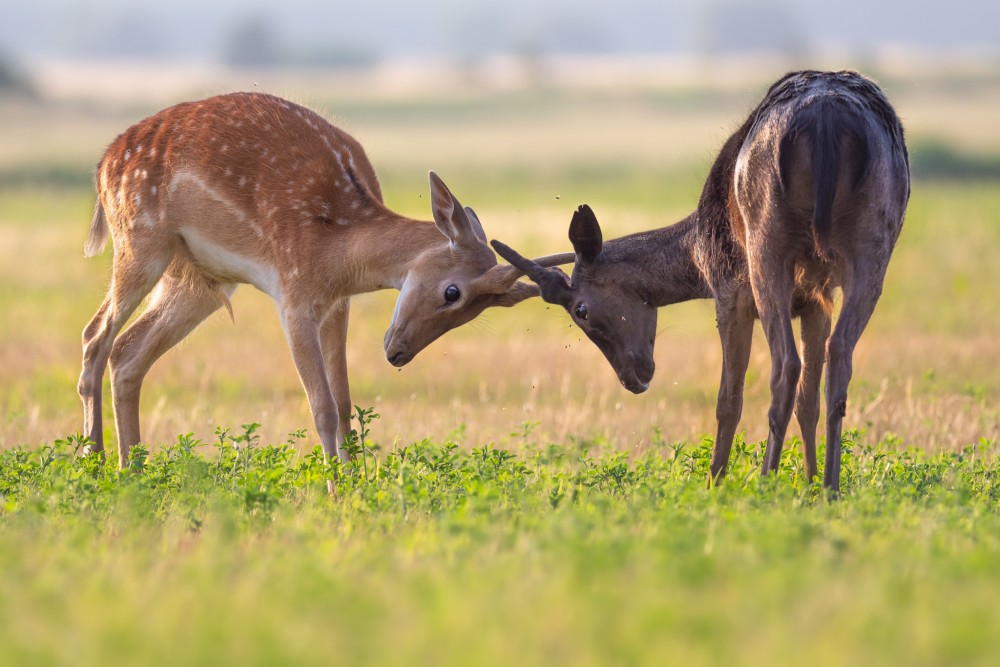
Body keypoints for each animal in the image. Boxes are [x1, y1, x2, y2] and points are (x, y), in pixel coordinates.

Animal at [78, 91, 572, 470]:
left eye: (477, 312)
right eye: (453, 291)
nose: (397, 353)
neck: (339, 245)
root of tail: (101, 166)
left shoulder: (336, 304)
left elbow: (346, 404)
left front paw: (356, 485)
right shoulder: (292, 294)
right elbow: (322, 407)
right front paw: (335, 493)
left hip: (199, 281)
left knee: (128, 352)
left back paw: (133, 472)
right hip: (140, 242)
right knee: (95, 336)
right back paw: (94, 464)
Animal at [496, 70, 912, 494]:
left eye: (581, 310)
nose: (634, 379)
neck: (698, 247)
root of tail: (825, 121)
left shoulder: (728, 290)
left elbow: (729, 398)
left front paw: (714, 483)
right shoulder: (817, 298)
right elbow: (808, 400)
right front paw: (811, 485)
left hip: (766, 249)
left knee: (784, 365)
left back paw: (765, 482)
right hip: (873, 246)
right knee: (839, 357)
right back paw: (830, 488)